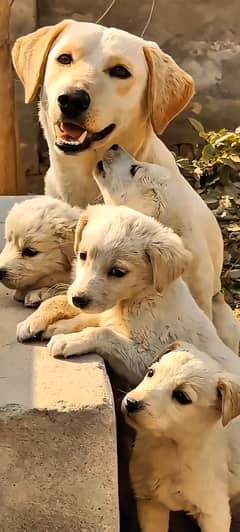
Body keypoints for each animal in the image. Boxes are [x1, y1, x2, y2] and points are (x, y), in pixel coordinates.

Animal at [15, 205, 239, 386]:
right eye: (83, 255)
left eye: (118, 272)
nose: (78, 299)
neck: (138, 299)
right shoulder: (101, 311)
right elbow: (63, 305)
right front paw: (37, 323)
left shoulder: (148, 358)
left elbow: (103, 333)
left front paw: (67, 340)